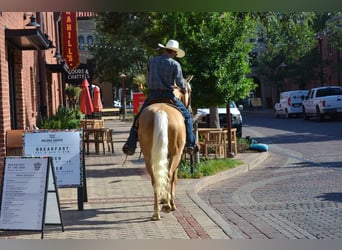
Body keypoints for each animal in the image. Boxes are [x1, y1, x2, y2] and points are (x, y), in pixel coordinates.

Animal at [138, 77, 194, 220]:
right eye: (190, 90)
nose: (190, 109)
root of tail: (160, 111)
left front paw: (163, 198)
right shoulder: (178, 156)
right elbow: (174, 178)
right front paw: (170, 201)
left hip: (148, 156)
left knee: (155, 178)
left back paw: (156, 211)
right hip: (176, 154)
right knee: (169, 175)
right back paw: (168, 206)